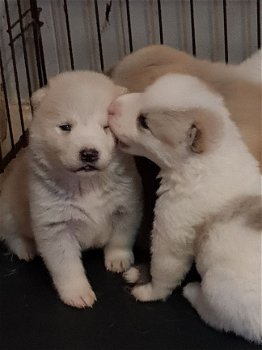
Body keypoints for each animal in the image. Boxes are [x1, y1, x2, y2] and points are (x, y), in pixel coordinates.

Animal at [0, 71, 143, 308]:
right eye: (66, 127)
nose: (89, 153)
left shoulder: (126, 204)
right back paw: (26, 249)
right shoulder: (54, 225)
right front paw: (77, 294)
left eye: (106, 127)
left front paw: (118, 259)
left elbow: (121, 236)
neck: (87, 184)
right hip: (9, 209)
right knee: (11, 235)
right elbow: (66, 266)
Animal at [108, 74, 262, 344]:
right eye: (144, 91)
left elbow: (164, 268)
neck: (206, 160)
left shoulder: (171, 230)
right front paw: (139, 273)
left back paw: (192, 291)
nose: (111, 107)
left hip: (220, 288)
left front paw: (149, 290)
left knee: (218, 317)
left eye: (144, 122)